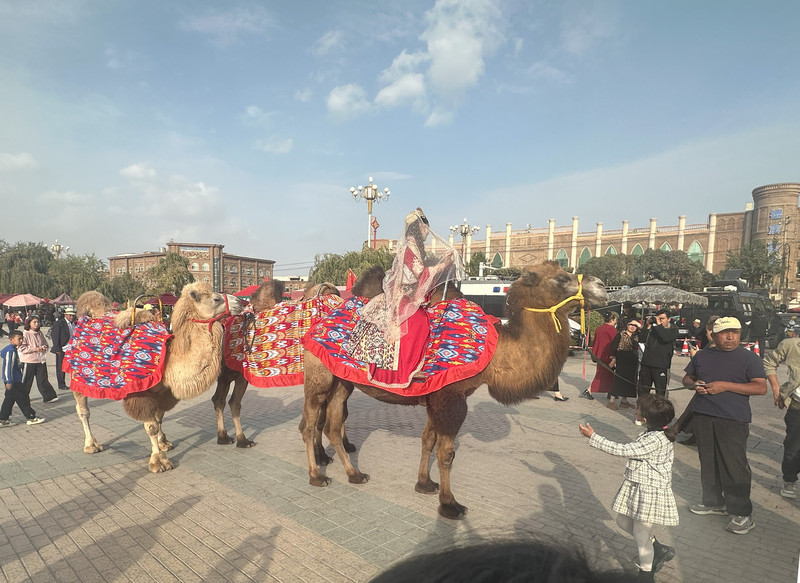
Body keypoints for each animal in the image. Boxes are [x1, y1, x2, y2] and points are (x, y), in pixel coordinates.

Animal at [69, 282, 243, 472]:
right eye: (216, 298)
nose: (240, 302)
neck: (169, 359)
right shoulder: (141, 392)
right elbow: (151, 426)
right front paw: (159, 462)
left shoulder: (163, 392)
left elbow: (159, 419)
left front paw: (164, 443)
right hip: (77, 379)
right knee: (83, 411)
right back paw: (91, 445)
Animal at [300, 261, 607, 519]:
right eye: (562, 278)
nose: (601, 286)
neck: (495, 350)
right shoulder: (451, 397)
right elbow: (446, 453)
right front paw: (449, 503)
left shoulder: (438, 395)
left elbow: (428, 440)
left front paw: (425, 483)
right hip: (319, 377)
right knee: (310, 424)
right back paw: (317, 476)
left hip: (343, 379)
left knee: (333, 425)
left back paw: (354, 473)